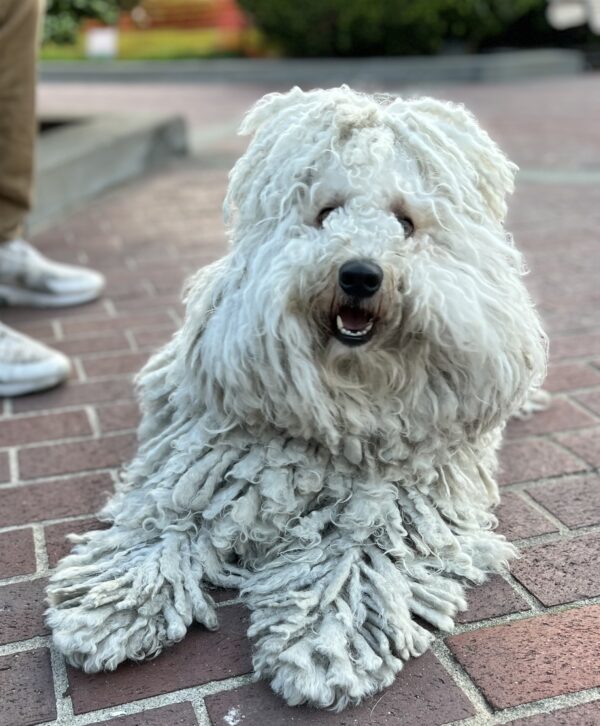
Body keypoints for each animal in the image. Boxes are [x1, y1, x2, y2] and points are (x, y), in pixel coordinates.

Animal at [47, 88, 548, 712]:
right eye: (326, 213)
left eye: (405, 222)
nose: (360, 274)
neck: (345, 401)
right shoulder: (205, 466)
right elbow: (166, 516)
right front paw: (110, 606)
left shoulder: (385, 504)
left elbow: (356, 559)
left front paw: (322, 646)